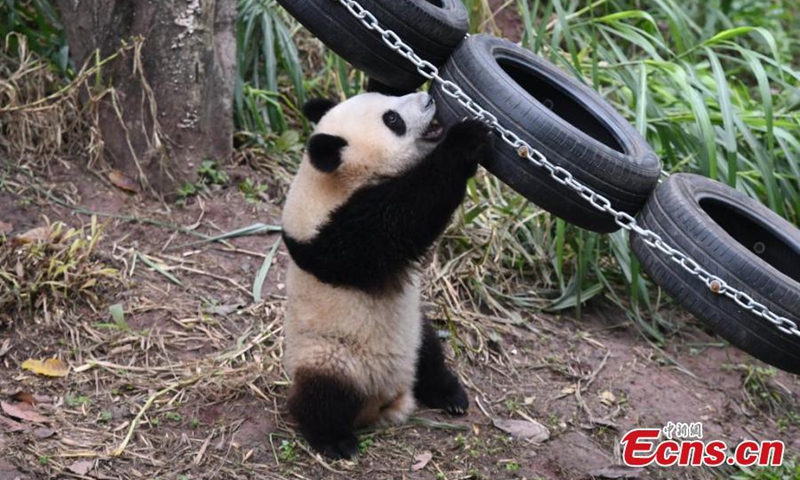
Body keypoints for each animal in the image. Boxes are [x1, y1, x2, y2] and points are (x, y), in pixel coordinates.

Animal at [281, 83, 493, 459]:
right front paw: (466, 140)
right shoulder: (335, 237)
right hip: (331, 355)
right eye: (392, 119)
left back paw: (449, 394)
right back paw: (335, 440)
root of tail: (386, 400)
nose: (429, 99)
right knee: (322, 395)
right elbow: (402, 217)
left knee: (430, 355)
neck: (328, 182)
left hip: (414, 331)